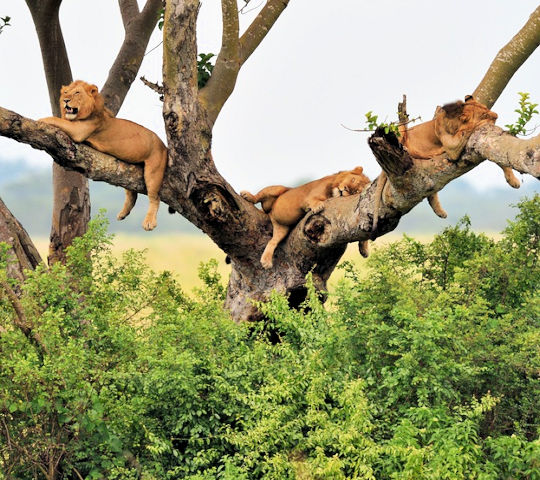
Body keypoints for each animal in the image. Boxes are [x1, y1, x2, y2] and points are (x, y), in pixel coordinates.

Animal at [242, 165, 372, 270]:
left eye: (355, 191)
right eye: (353, 179)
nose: (344, 189)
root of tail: (271, 214)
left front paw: (364, 249)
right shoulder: (308, 197)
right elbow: (313, 200)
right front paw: (318, 206)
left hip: (282, 229)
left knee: (272, 241)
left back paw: (266, 261)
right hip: (277, 189)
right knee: (259, 196)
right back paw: (248, 196)